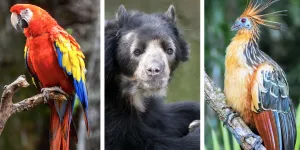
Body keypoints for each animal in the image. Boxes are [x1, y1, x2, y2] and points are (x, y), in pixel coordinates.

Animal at [104, 4, 200, 150]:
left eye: (169, 50)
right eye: (137, 51)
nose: (154, 71)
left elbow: (166, 118)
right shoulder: (110, 113)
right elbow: (146, 142)